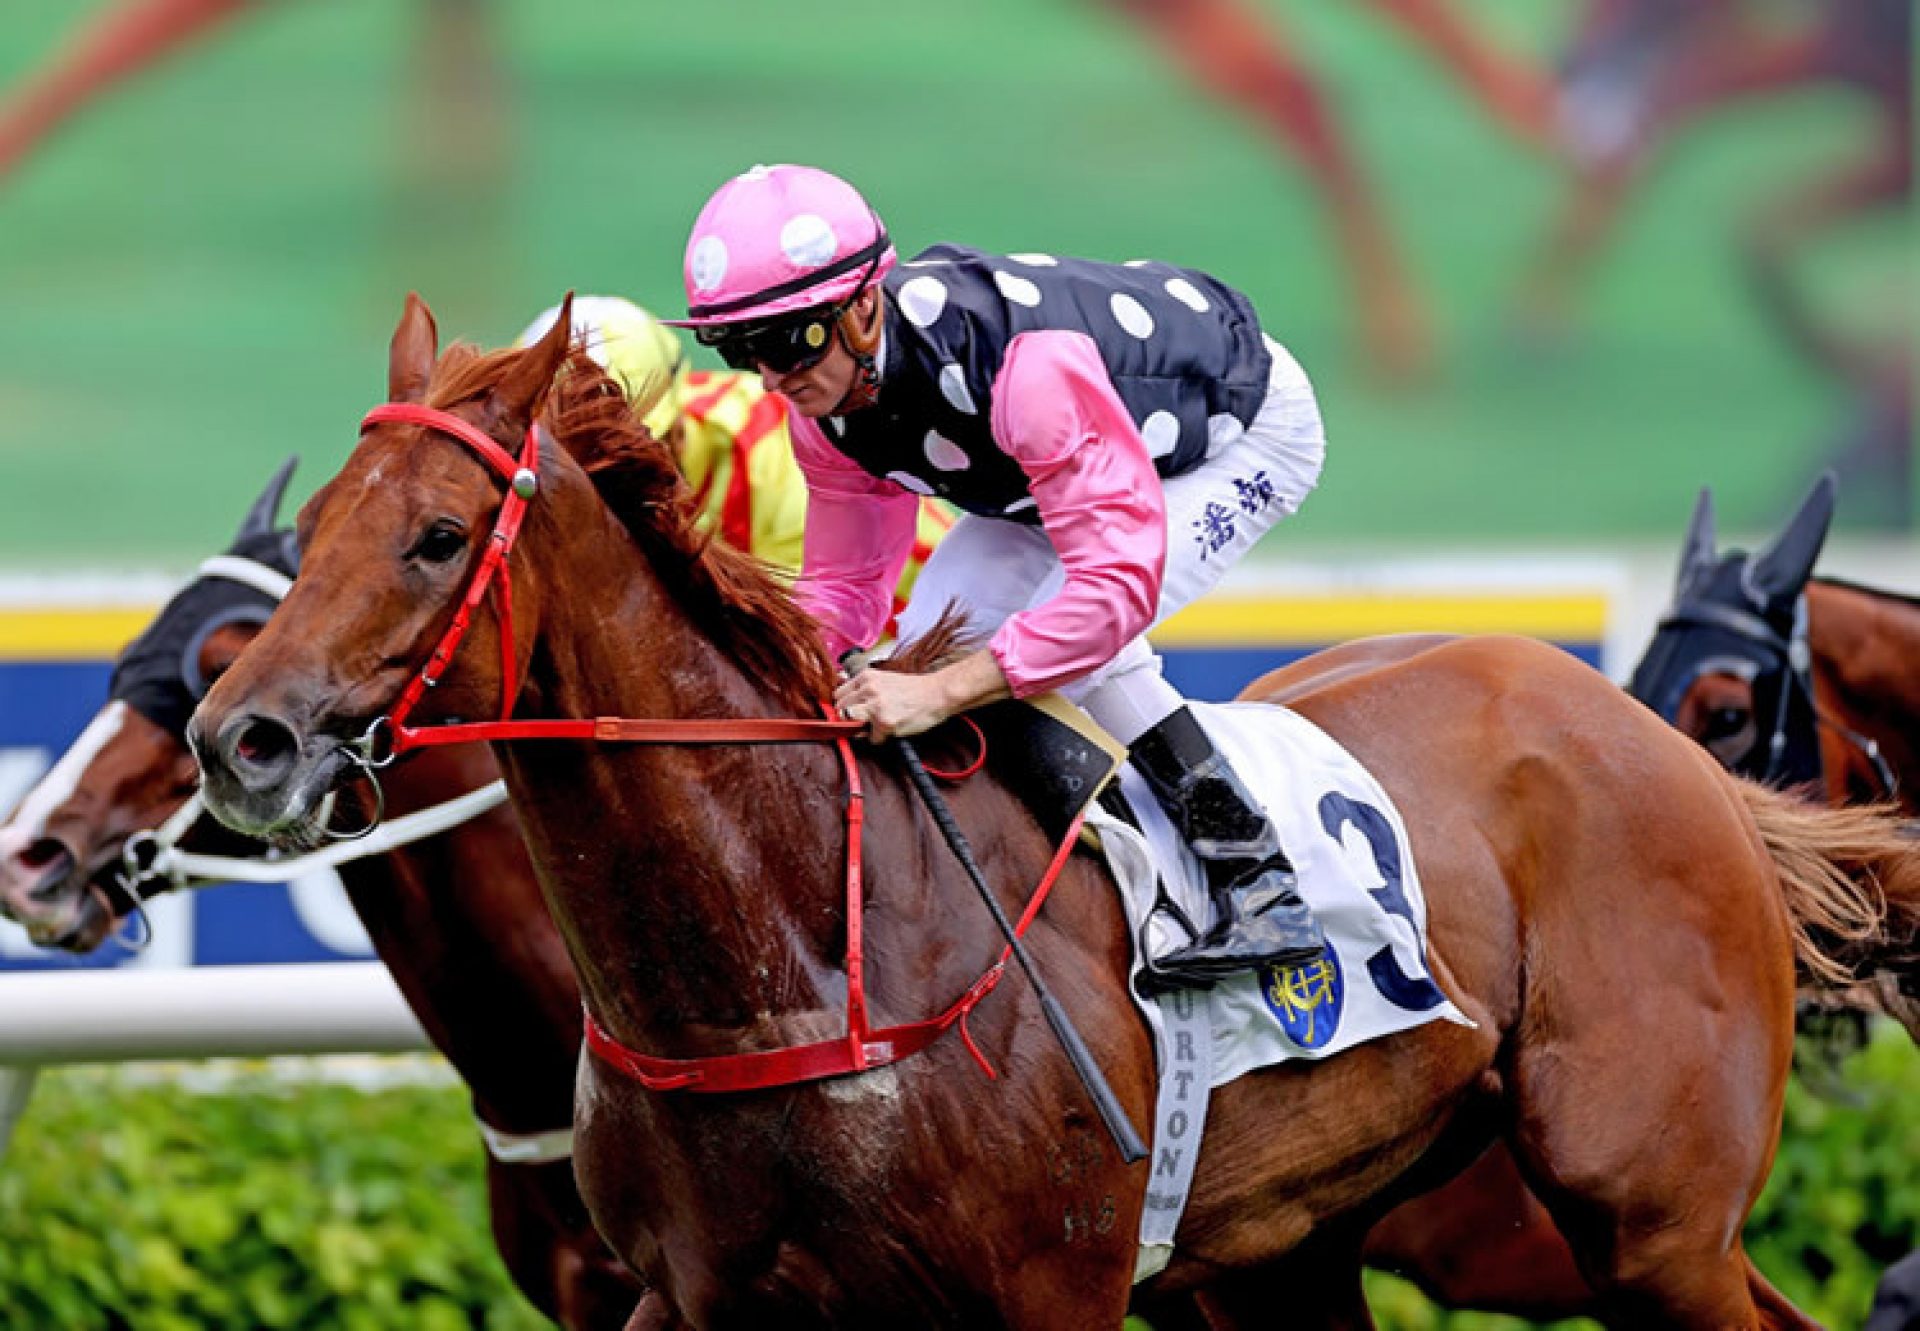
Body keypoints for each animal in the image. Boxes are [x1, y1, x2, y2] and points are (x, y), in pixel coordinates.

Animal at [183, 293, 1920, 1329]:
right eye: (318, 525)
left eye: (436, 535)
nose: (239, 740)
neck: (795, 957)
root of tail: (1665, 747)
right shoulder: (691, 1296)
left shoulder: (1051, 1291)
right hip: (1294, 1247)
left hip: (1645, 1212)